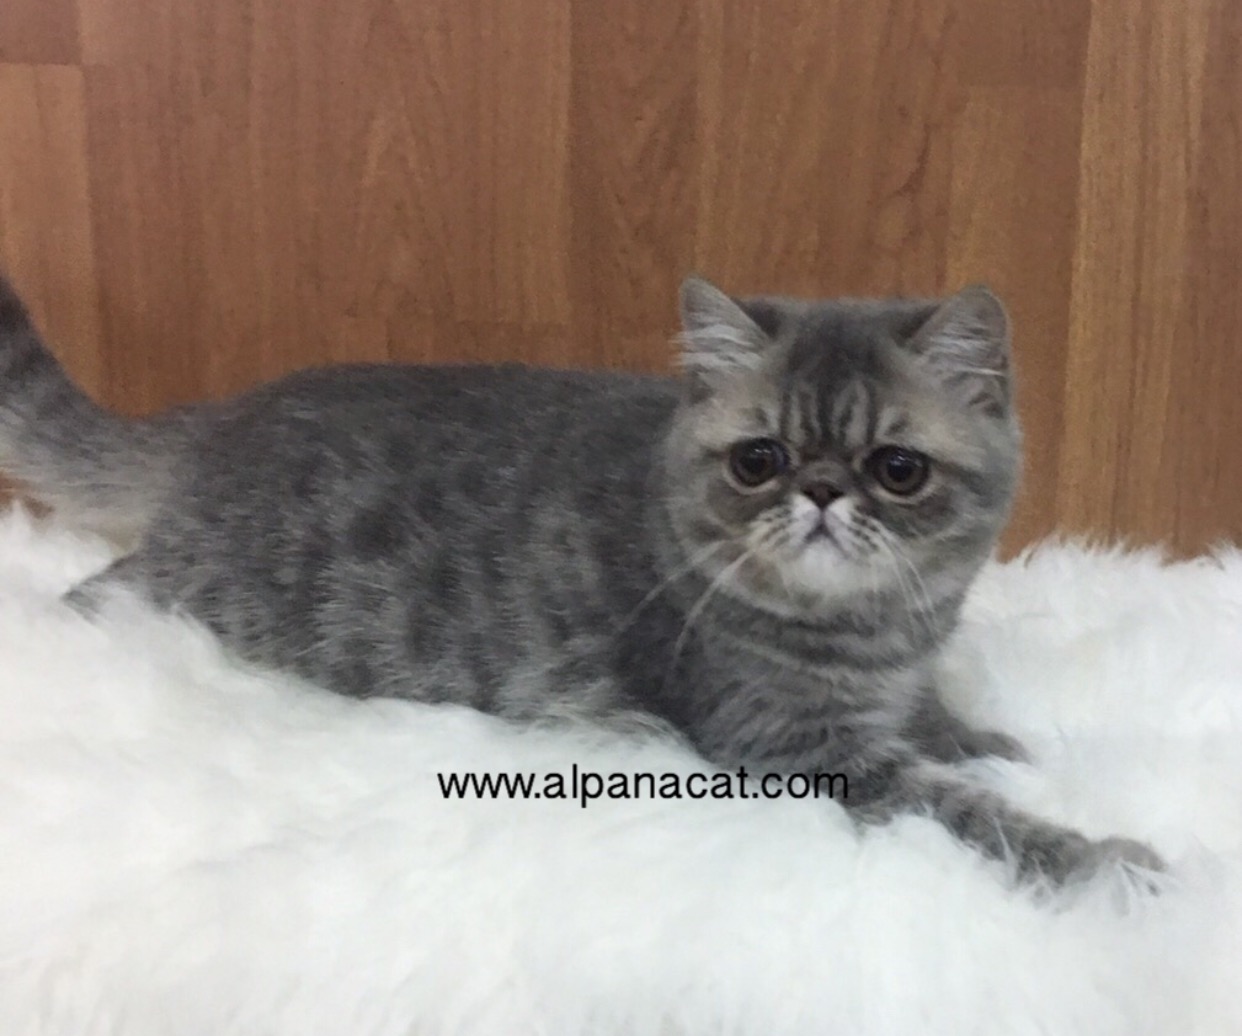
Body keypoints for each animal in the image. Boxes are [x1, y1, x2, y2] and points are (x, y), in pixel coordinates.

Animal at [0, 271, 1162, 885]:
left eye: (898, 468)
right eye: (759, 460)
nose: (826, 494)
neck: (874, 629)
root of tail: (216, 422)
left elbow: (938, 725)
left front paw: (984, 738)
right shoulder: (795, 751)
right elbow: (961, 811)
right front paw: (1103, 858)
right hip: (207, 585)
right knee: (100, 587)